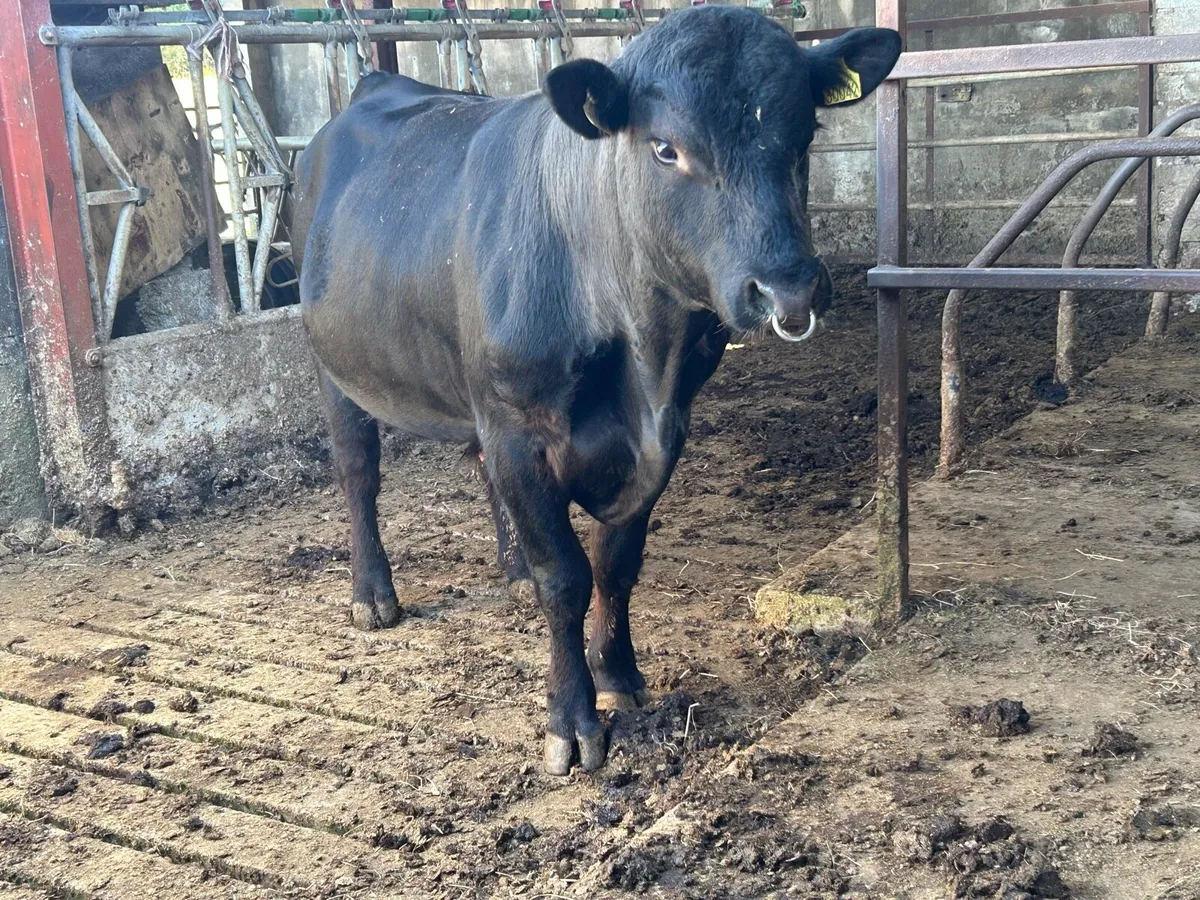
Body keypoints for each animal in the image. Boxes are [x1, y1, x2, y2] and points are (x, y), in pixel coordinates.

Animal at [292, 6, 901, 775]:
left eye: (806, 136)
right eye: (666, 149)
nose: (789, 288)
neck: (642, 357)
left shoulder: (666, 429)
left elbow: (616, 562)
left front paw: (618, 673)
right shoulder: (518, 427)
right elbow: (567, 577)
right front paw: (572, 720)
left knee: (478, 470)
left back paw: (511, 569)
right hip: (335, 365)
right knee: (358, 473)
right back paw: (373, 594)